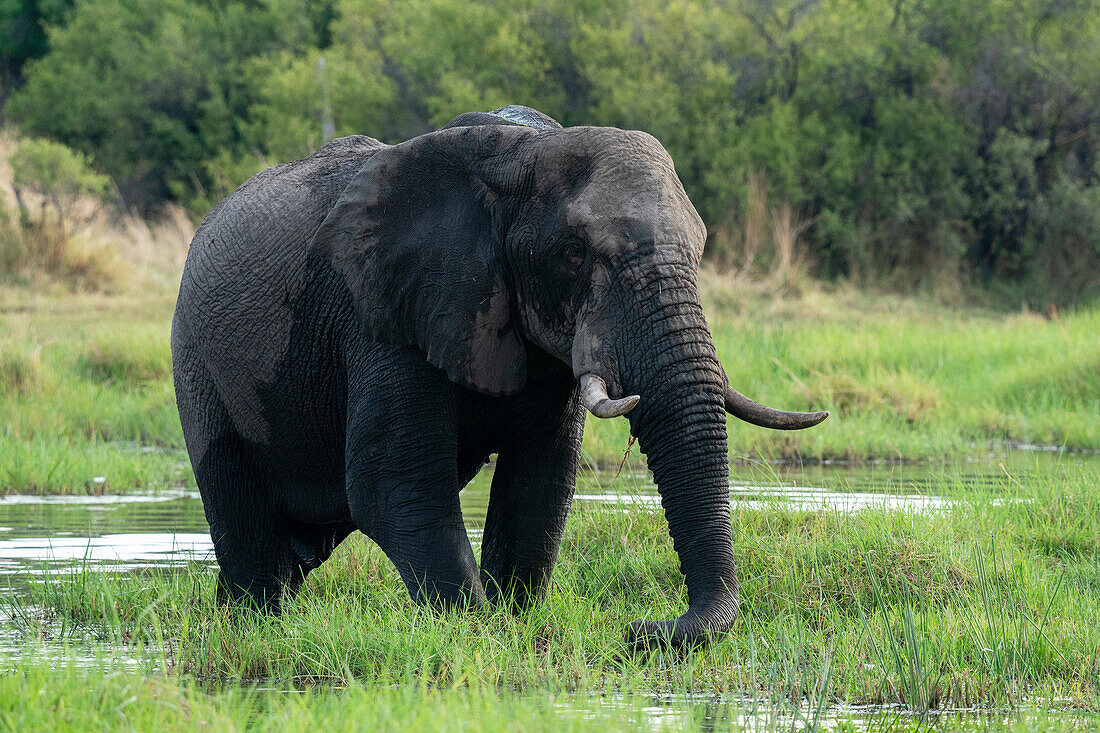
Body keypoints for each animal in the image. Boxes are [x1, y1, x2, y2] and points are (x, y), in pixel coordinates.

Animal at [171, 104, 827, 651]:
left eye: (699, 250)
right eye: (574, 254)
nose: (644, 628)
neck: (520, 154)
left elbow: (541, 480)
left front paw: (513, 622)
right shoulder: (386, 315)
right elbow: (393, 483)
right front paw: (476, 631)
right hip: (199, 366)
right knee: (251, 539)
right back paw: (248, 627)